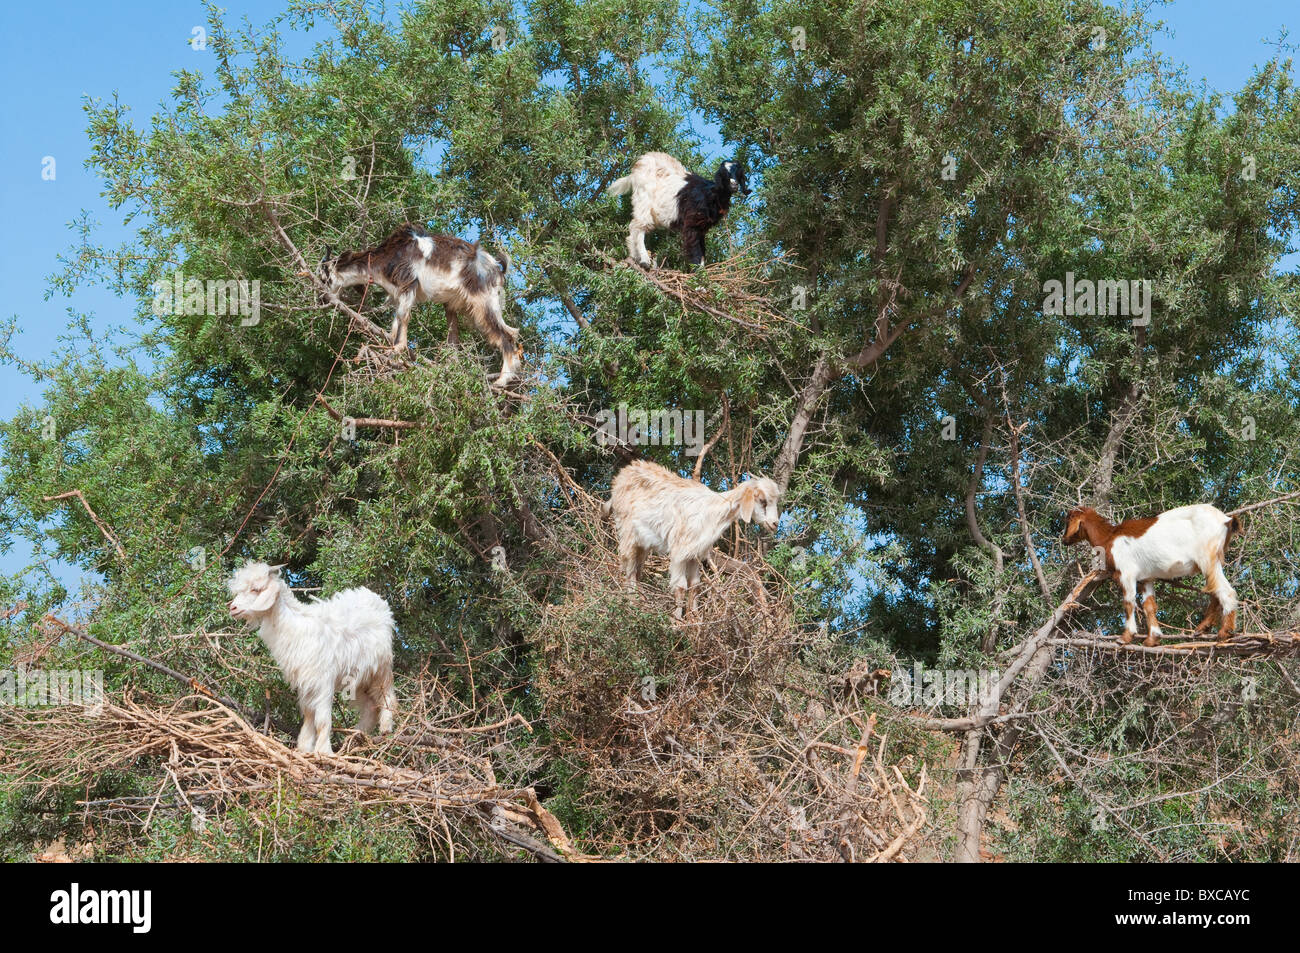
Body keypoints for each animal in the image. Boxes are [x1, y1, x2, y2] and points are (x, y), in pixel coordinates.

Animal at [227, 561, 397, 754]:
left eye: (256, 589)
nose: (233, 608)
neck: (294, 625)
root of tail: (378, 602)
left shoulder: (323, 680)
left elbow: (322, 720)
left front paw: (323, 750)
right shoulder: (306, 682)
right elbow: (309, 716)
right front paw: (304, 747)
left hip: (380, 667)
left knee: (388, 693)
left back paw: (385, 727)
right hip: (358, 678)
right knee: (369, 706)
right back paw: (356, 736)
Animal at [308, 224, 521, 388]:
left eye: (325, 276)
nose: (321, 300)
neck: (386, 258)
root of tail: (496, 267)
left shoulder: (408, 284)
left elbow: (403, 317)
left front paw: (397, 349)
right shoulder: (397, 294)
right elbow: (395, 325)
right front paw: (391, 350)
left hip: (483, 301)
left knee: (507, 335)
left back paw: (502, 381)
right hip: (458, 304)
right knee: (459, 339)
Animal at [602, 460, 781, 618]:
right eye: (762, 500)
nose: (775, 524)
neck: (712, 511)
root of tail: (620, 478)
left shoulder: (695, 552)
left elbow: (695, 585)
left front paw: (694, 617)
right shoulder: (680, 551)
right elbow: (681, 586)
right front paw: (678, 619)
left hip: (643, 543)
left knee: (637, 570)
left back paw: (641, 599)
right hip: (627, 532)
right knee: (629, 570)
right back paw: (633, 602)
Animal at [608, 152, 750, 268]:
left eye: (739, 173)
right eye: (724, 174)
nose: (734, 185)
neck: (710, 194)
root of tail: (639, 165)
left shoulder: (702, 228)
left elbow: (702, 251)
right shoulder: (691, 225)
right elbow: (695, 251)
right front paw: (699, 279)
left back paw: (635, 256)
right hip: (643, 201)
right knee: (637, 227)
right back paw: (644, 260)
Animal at [1063, 504, 1241, 646]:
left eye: (1068, 519)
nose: (1064, 540)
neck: (1109, 537)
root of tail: (1225, 520)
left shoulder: (1126, 573)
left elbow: (1128, 603)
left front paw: (1126, 637)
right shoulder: (1146, 579)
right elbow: (1149, 606)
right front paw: (1153, 638)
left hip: (1207, 558)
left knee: (1226, 591)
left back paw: (1225, 632)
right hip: (1213, 561)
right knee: (1215, 590)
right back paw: (1202, 629)